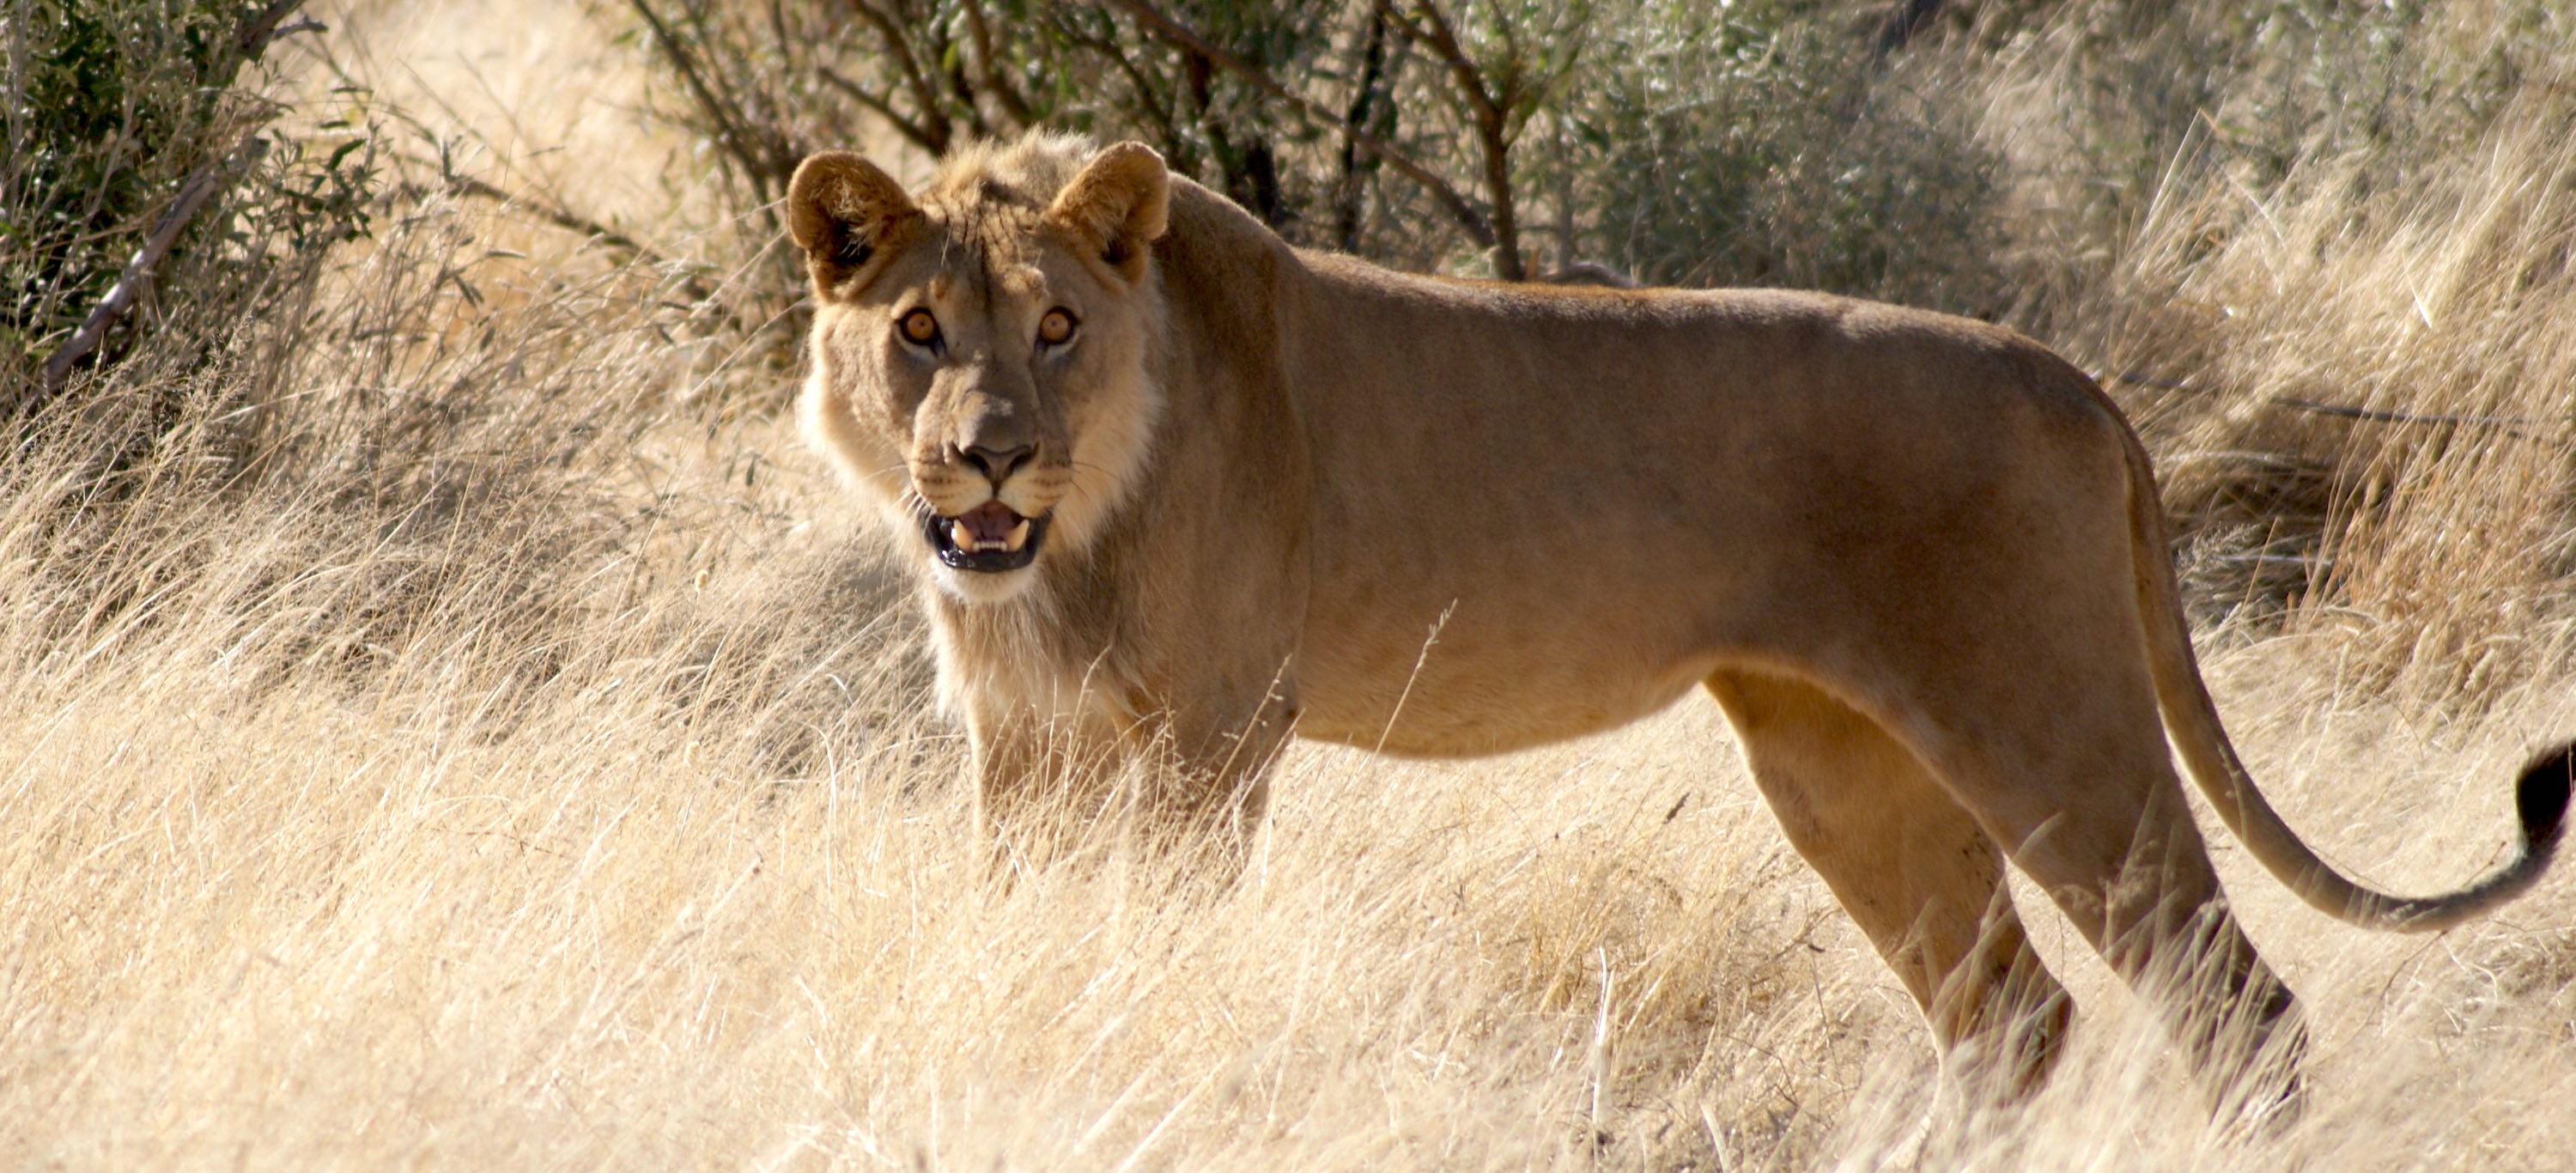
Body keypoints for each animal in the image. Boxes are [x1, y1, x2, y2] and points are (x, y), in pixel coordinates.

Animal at [788, 135, 2576, 1113]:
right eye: (922, 330)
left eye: (1059, 328)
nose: (989, 451)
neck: (1070, 539)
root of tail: (2073, 378)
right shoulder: (1025, 746)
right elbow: (1016, 923)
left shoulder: (1217, 737)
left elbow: (1162, 935)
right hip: (1845, 768)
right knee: (2015, 1017)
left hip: (2050, 724)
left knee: (2235, 1009)